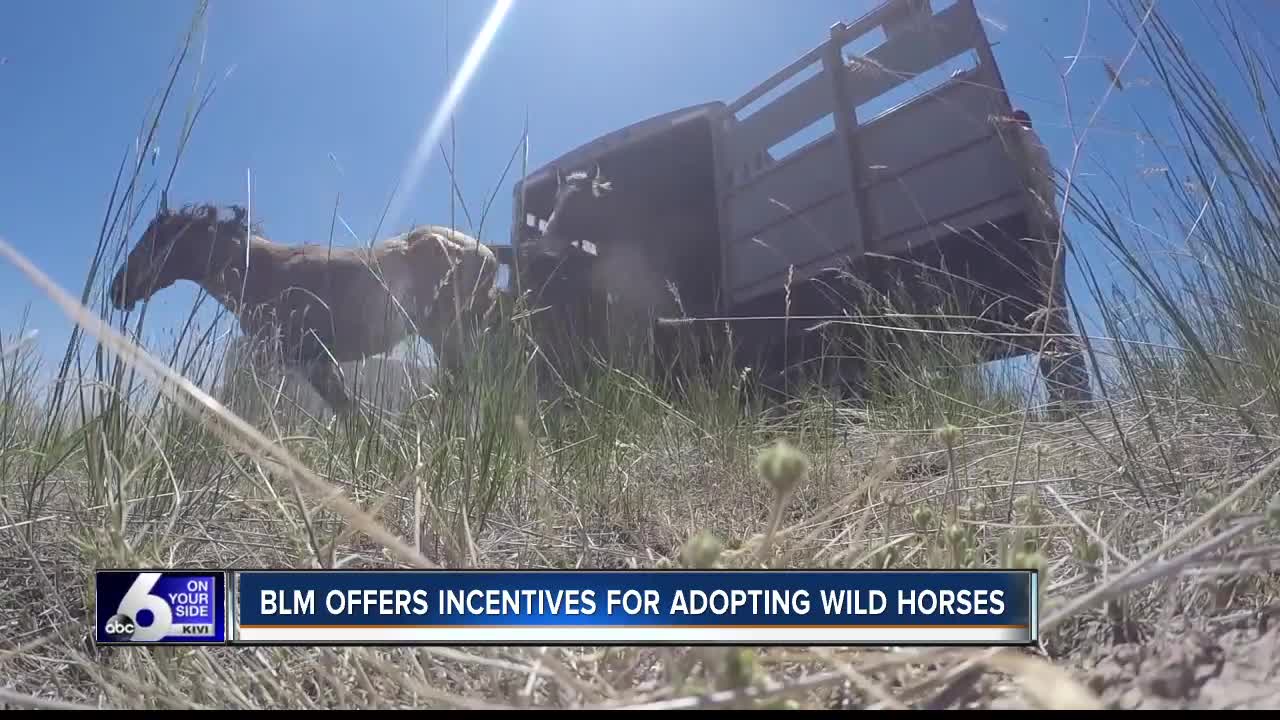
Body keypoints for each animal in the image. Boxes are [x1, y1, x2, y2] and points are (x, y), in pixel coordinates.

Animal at [107, 202, 496, 415]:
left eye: (153, 240)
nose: (117, 289)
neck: (260, 270)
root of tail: (487, 255)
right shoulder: (317, 363)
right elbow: (350, 413)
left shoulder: (274, 357)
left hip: (446, 337)